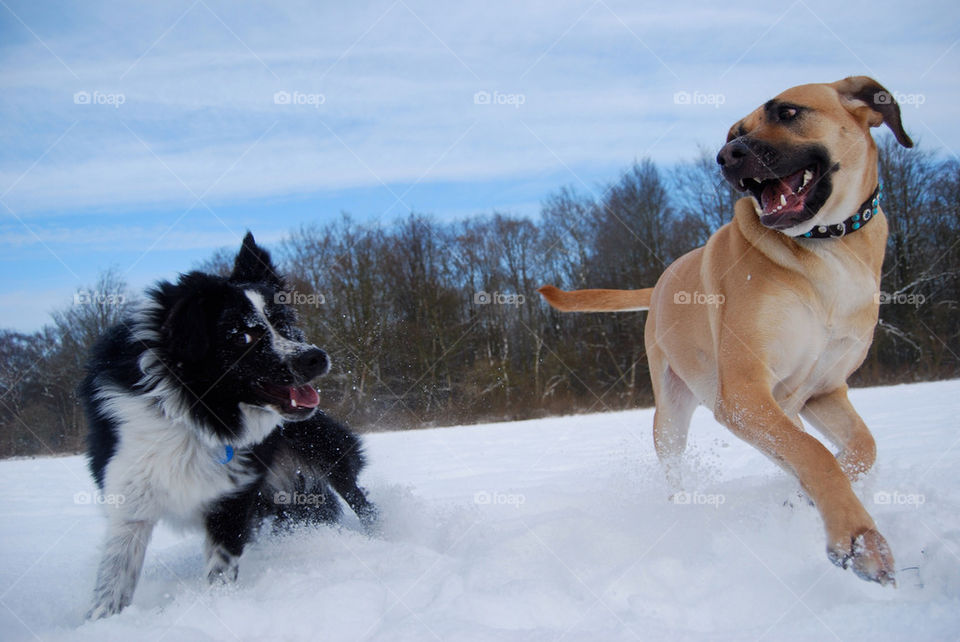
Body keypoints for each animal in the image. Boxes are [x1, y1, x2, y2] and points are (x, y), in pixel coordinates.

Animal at [79, 230, 376, 616]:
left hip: (327, 454)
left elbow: (220, 571)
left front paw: (217, 609)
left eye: (284, 324)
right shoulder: (130, 500)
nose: (315, 358)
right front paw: (102, 621)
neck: (193, 414)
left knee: (362, 503)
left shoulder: (232, 500)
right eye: (242, 336)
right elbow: (112, 581)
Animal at [540, 76, 916, 584]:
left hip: (783, 405)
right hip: (672, 413)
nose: (727, 156)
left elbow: (861, 447)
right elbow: (815, 454)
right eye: (733, 132)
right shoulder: (742, 392)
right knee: (678, 465)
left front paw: (808, 499)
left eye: (788, 113)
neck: (828, 246)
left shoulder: (823, 390)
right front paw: (858, 540)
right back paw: (681, 510)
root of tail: (661, 279)